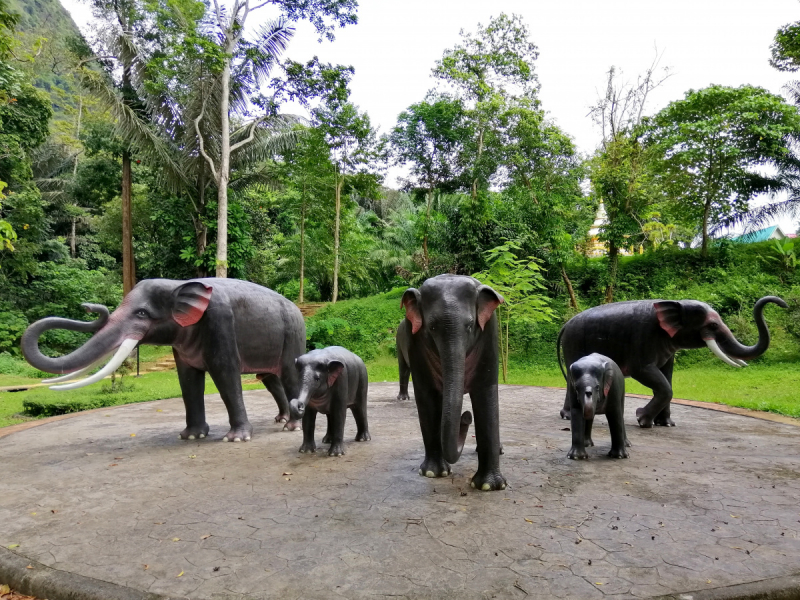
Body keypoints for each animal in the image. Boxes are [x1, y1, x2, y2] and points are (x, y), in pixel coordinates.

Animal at [21, 278, 306, 442]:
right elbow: (187, 379)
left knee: (288, 374)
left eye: (142, 313)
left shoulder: (219, 321)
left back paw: (292, 427)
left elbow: (225, 372)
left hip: (293, 333)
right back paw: (281, 420)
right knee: (269, 378)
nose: (89, 306)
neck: (178, 284)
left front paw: (235, 439)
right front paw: (190, 437)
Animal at [398, 276, 506, 492]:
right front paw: (433, 473)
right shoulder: (413, 339)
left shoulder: (490, 333)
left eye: (470, 325)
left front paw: (490, 486)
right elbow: (427, 396)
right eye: (431, 327)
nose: (466, 416)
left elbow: (485, 393)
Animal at [556, 296, 788, 426]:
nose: (783, 304)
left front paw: (667, 424)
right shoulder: (643, 338)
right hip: (574, 343)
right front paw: (642, 420)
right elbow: (648, 374)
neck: (676, 303)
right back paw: (568, 417)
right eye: (713, 325)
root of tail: (566, 324)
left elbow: (667, 376)